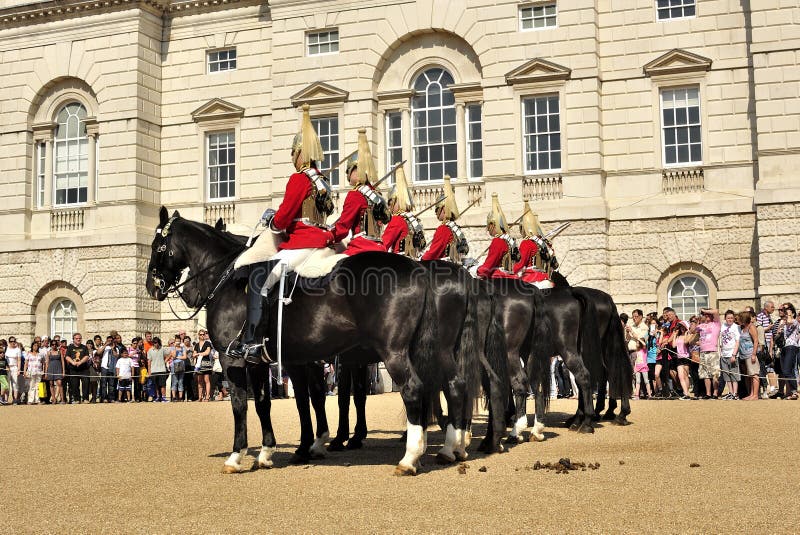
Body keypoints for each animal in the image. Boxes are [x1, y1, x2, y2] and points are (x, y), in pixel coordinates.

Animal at [146, 207, 471, 475]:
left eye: (157, 245)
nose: (152, 287)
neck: (228, 277)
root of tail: (418, 269)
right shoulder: (269, 361)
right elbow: (268, 403)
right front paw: (268, 452)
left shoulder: (235, 360)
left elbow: (244, 404)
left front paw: (238, 456)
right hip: (438, 350)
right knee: (454, 384)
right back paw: (451, 446)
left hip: (395, 353)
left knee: (414, 389)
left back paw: (410, 457)